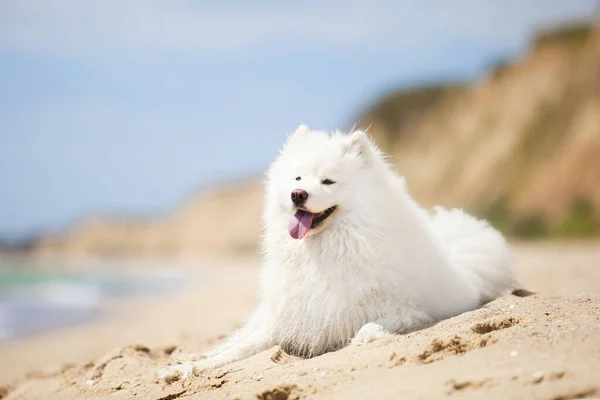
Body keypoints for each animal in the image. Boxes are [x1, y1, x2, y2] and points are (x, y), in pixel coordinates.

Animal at [158, 125, 510, 382]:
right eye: (298, 177)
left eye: (328, 181)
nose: (297, 194)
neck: (324, 252)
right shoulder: (287, 318)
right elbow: (235, 351)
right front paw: (187, 369)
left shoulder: (410, 312)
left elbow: (369, 326)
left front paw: (363, 339)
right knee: (234, 337)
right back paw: (189, 356)